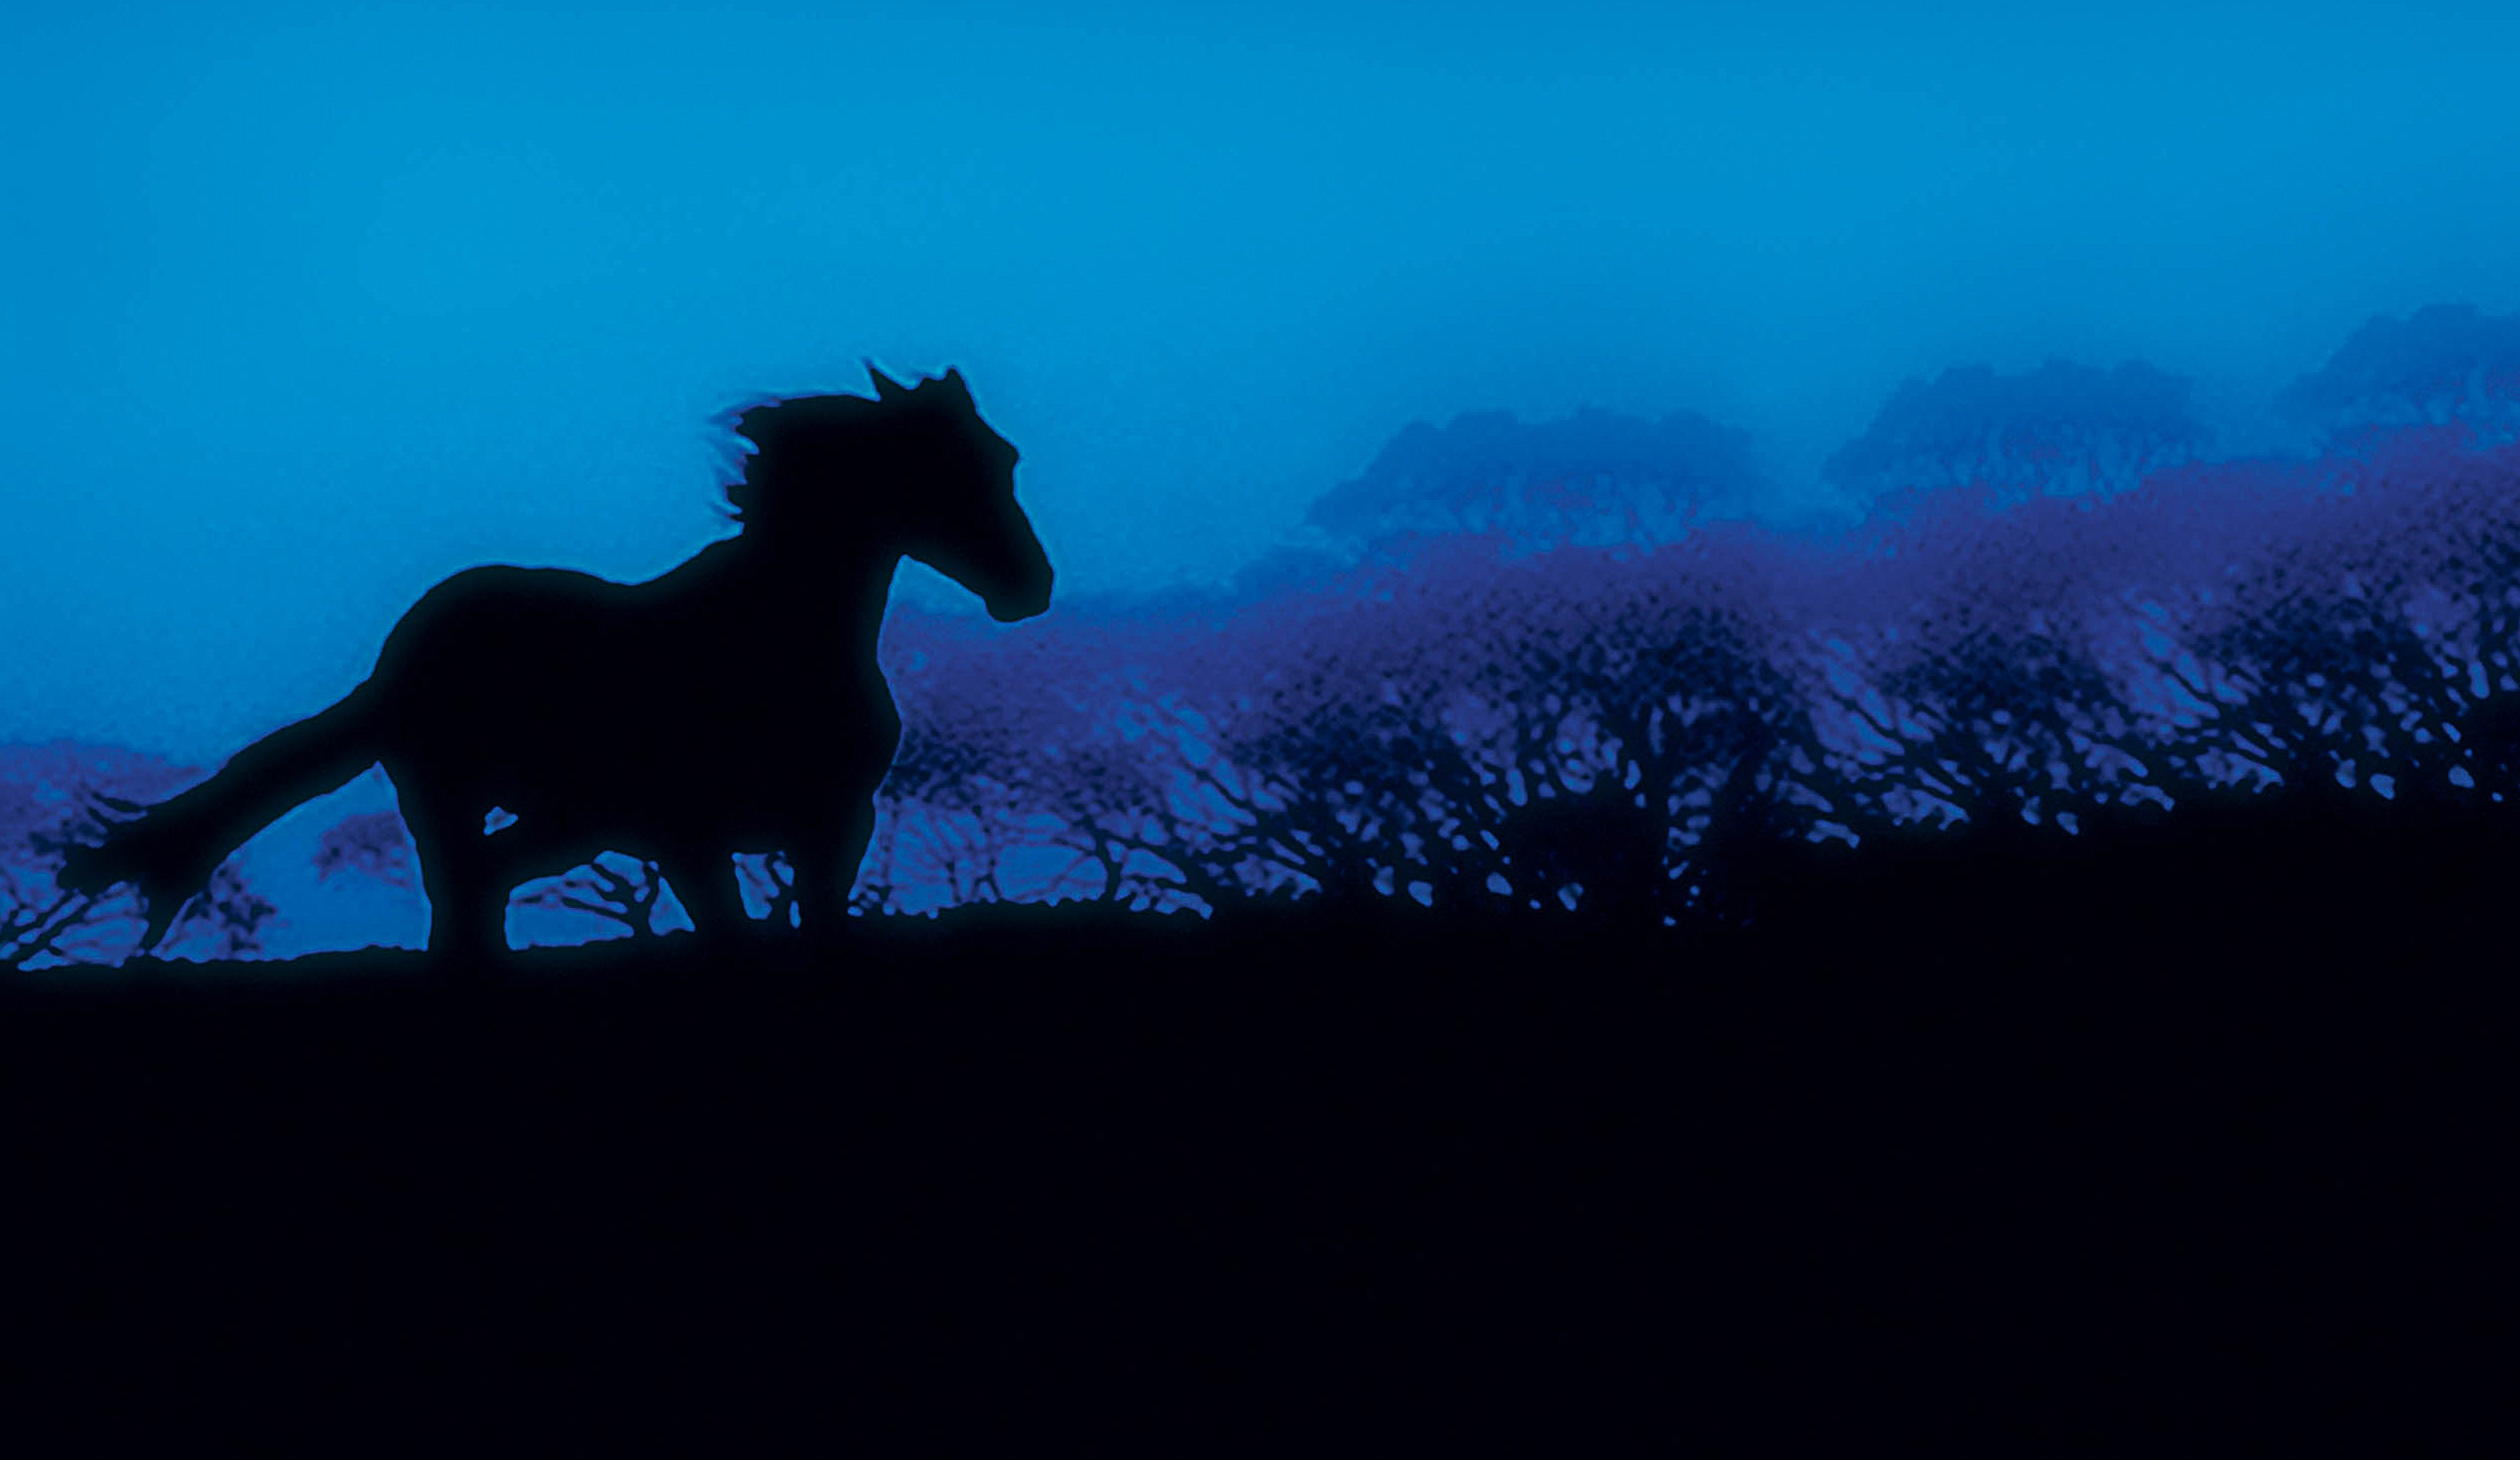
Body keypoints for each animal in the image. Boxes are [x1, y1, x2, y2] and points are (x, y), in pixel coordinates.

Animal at [58, 363, 1052, 962]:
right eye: (941, 467)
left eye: (1002, 456)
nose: (1031, 587)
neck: (776, 641)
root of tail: (398, 663)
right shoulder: (686, 837)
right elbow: (728, 941)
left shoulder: (833, 830)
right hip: (467, 805)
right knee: (464, 894)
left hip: (560, 821)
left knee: (479, 893)